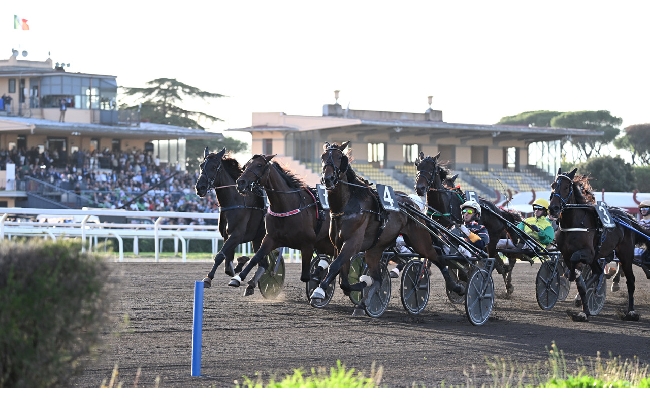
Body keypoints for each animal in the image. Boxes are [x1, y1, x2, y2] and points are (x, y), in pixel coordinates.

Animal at [194, 147, 268, 288]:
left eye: (214, 167)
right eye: (201, 165)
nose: (200, 187)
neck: (235, 201)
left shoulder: (237, 234)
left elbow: (220, 256)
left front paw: (208, 278)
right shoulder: (226, 235)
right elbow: (228, 262)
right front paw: (239, 264)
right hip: (258, 238)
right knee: (263, 262)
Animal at [232, 153, 334, 294]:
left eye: (259, 165)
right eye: (246, 165)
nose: (240, 182)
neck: (286, 206)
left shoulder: (308, 245)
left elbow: (306, 276)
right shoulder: (270, 238)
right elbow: (256, 258)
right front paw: (237, 278)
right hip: (324, 243)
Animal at [314, 141, 466, 316]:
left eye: (339, 157)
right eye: (323, 156)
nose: (328, 178)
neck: (347, 206)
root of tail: (413, 205)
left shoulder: (352, 243)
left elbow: (335, 267)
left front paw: (318, 291)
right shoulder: (339, 245)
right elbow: (343, 280)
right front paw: (361, 285)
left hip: (419, 240)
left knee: (437, 258)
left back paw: (457, 287)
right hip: (375, 249)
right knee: (379, 279)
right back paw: (363, 304)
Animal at [416, 152, 520, 296]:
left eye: (432, 169)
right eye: (418, 166)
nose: (420, 188)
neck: (442, 206)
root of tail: (498, 210)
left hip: (493, 240)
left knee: (494, 260)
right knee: (498, 262)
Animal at [548, 166, 644, 322]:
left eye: (566, 187)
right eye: (553, 185)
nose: (553, 208)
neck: (574, 224)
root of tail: (627, 217)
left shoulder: (588, 253)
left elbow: (575, 262)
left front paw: (572, 277)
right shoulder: (567, 254)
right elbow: (580, 280)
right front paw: (584, 311)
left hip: (626, 254)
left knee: (630, 280)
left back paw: (631, 312)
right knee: (598, 271)